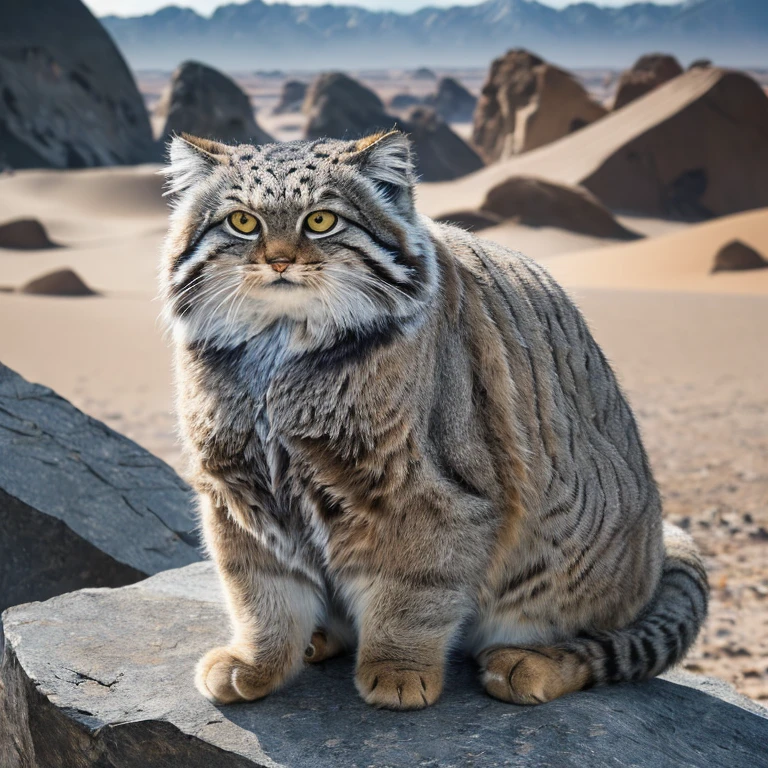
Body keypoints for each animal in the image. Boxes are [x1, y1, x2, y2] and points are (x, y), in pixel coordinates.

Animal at [162, 130, 708, 708]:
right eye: (243, 222)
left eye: (321, 220)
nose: (280, 261)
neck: (277, 357)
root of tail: (655, 551)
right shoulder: (237, 490)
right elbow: (259, 593)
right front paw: (257, 663)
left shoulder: (434, 493)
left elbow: (415, 590)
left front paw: (397, 670)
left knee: (592, 642)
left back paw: (528, 665)